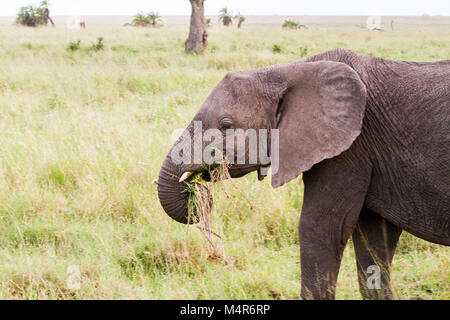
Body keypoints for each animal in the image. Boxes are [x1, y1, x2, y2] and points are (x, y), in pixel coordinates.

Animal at [156, 48, 450, 298]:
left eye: (226, 125)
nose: (196, 191)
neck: (290, 71)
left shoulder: (350, 148)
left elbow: (320, 229)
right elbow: (374, 244)